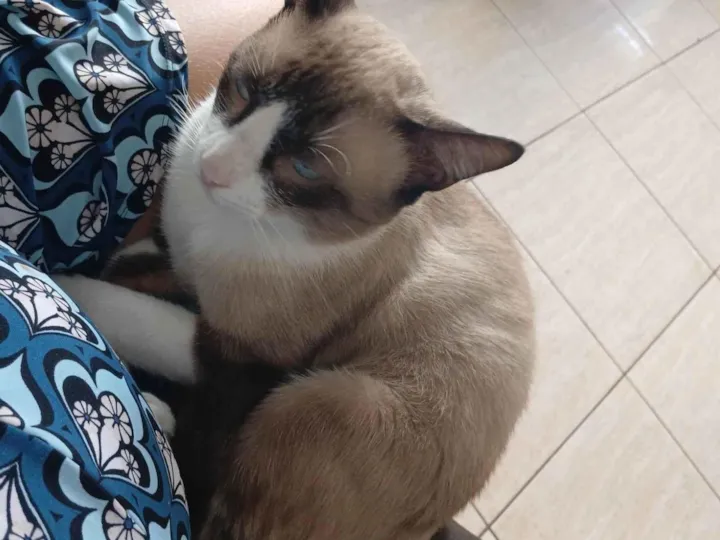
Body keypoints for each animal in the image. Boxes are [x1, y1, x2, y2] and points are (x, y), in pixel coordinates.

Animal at [54, 0, 535, 539]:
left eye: (304, 168)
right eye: (243, 90)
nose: (212, 169)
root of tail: (433, 525)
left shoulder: (239, 355)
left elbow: (127, 311)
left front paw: (57, 287)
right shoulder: (178, 256)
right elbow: (142, 261)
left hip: (324, 400)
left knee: (215, 500)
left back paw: (162, 416)